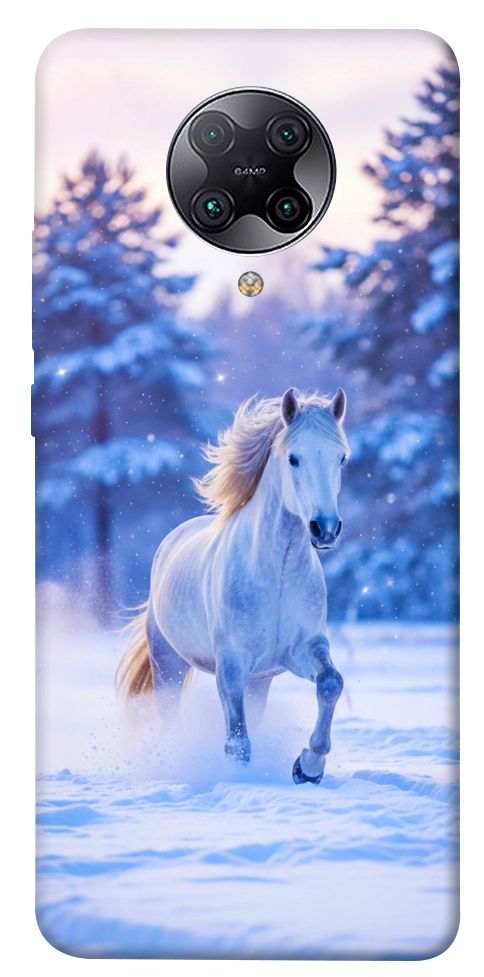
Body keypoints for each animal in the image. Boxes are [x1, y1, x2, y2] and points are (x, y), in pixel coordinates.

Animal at [117, 387, 350, 784]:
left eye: (341, 459)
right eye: (294, 458)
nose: (325, 529)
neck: (277, 573)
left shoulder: (301, 649)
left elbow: (331, 683)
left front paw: (308, 767)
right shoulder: (231, 664)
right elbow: (237, 742)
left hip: (259, 681)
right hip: (168, 665)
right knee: (170, 717)